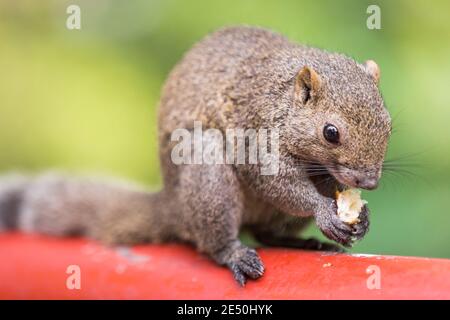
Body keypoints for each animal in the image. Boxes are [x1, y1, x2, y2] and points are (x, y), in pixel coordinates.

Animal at [0, 25, 390, 284]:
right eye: (330, 132)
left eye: (388, 123)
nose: (369, 181)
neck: (280, 99)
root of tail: (173, 206)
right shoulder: (255, 133)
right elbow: (276, 183)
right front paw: (324, 211)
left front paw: (361, 217)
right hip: (207, 175)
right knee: (214, 241)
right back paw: (234, 254)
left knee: (265, 233)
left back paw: (304, 243)